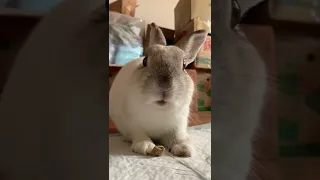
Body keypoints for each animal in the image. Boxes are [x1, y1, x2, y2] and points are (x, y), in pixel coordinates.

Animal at [109, 22, 206, 158]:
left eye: (184, 66)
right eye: (145, 61)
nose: (164, 88)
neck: (159, 109)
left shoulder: (178, 126)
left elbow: (177, 137)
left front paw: (184, 149)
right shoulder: (133, 124)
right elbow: (140, 135)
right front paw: (146, 146)